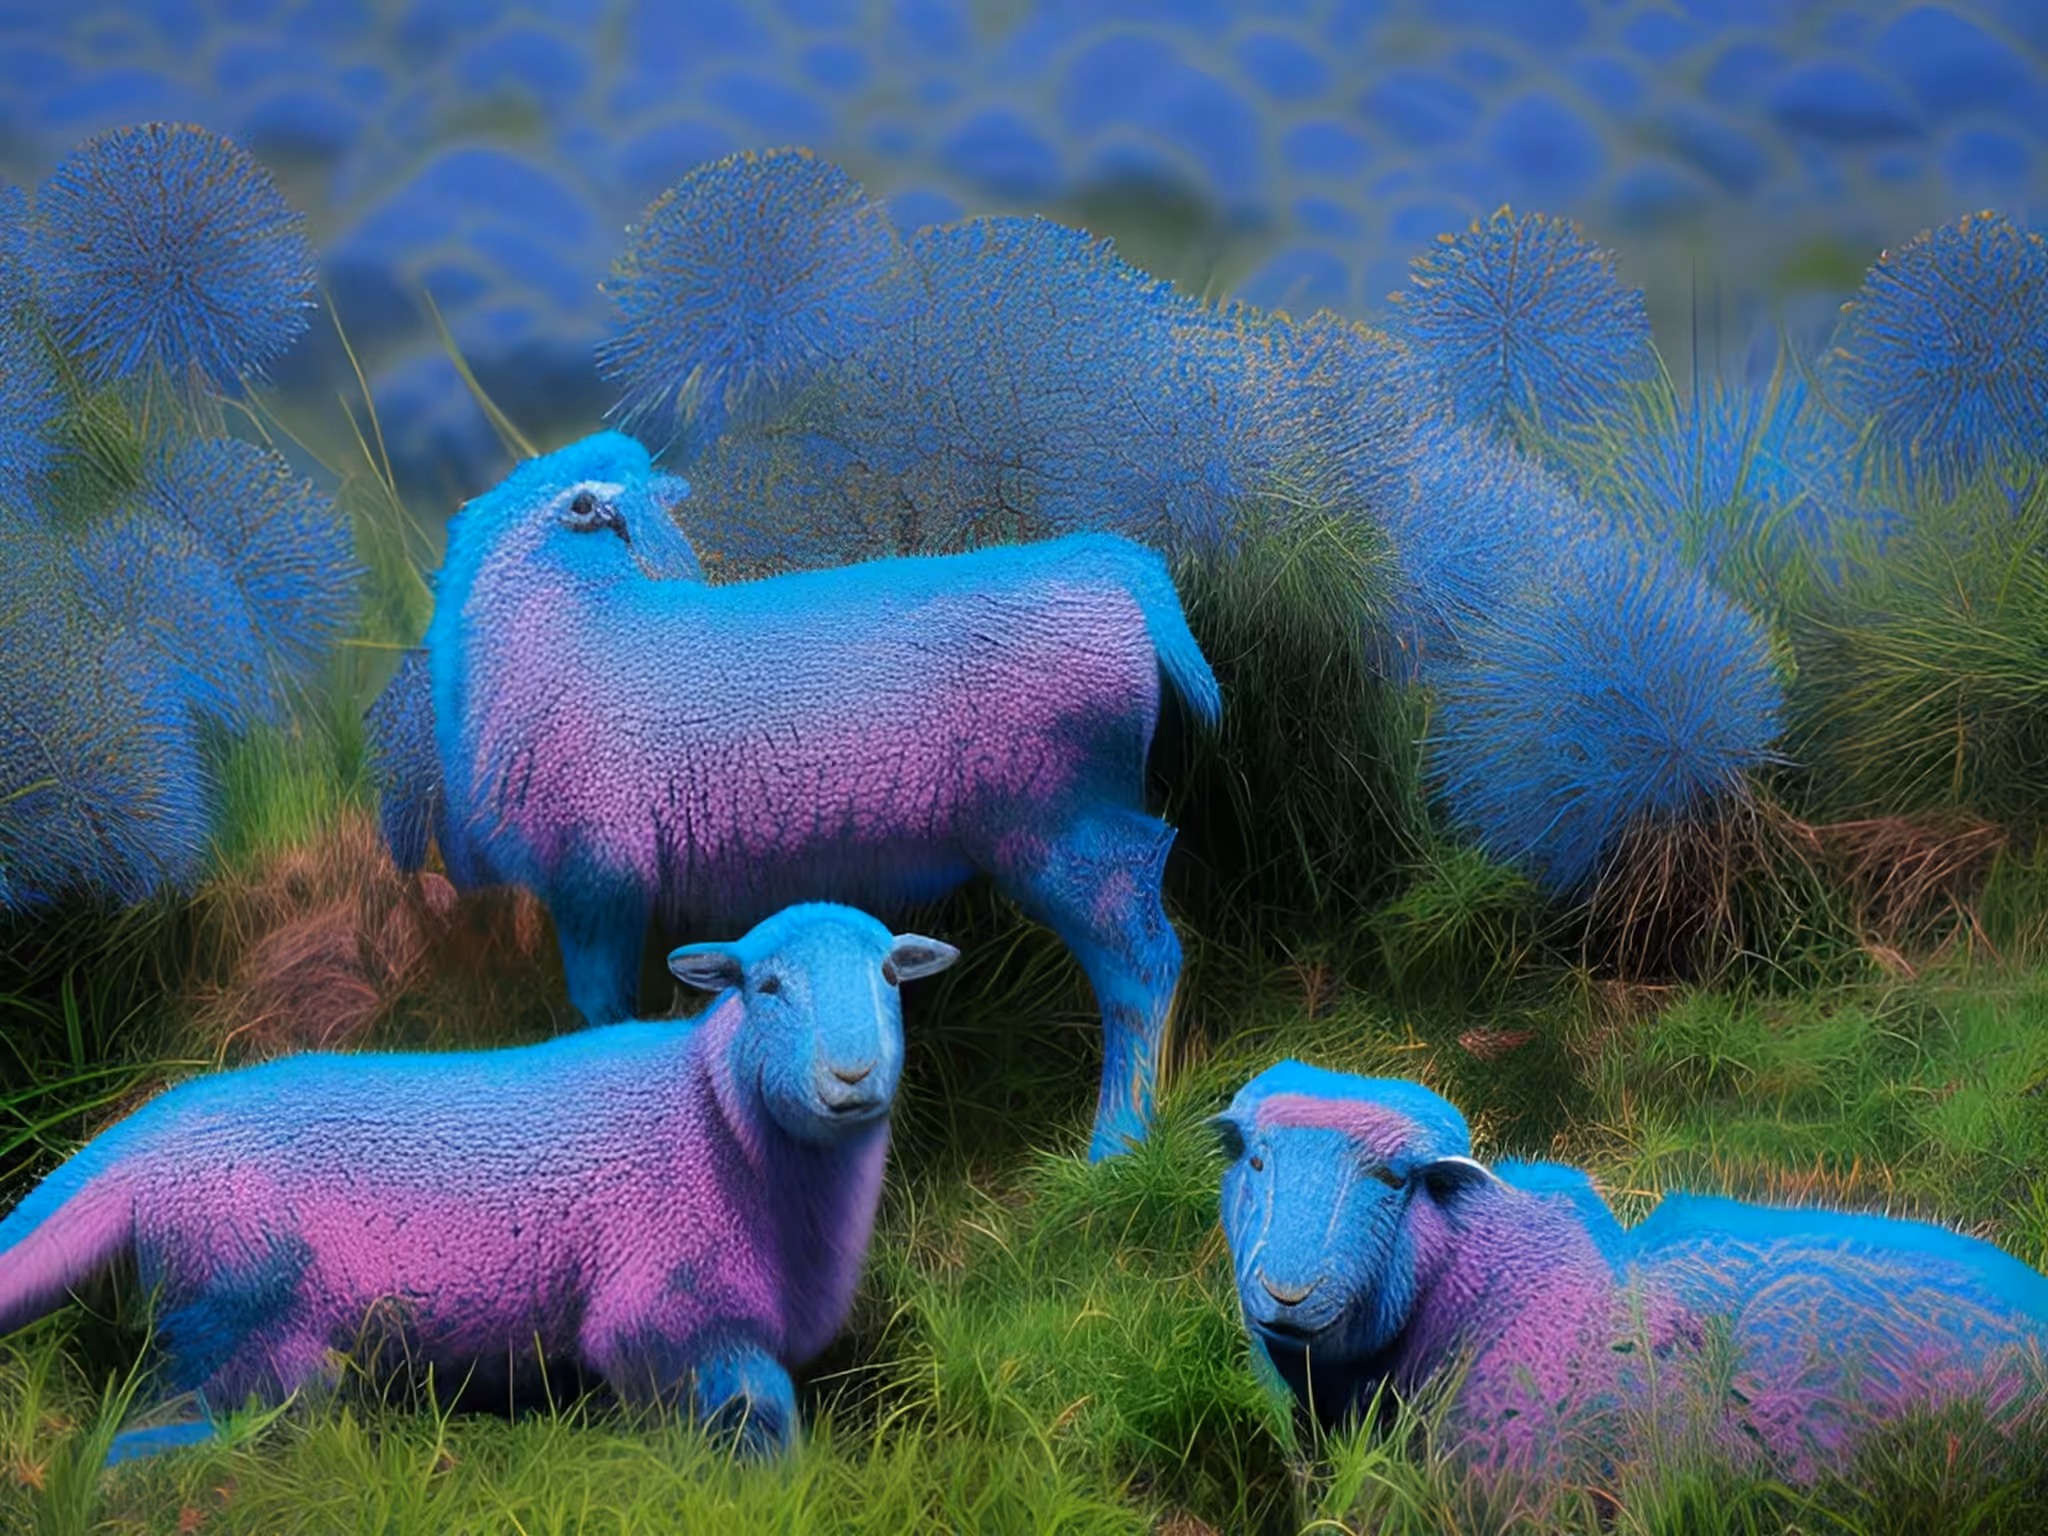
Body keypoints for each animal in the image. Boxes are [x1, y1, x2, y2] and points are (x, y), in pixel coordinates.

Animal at [0, 902, 958, 1464]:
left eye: (889, 975)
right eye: (765, 984)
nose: (850, 1075)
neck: (717, 1119)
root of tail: (150, 1134)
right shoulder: (658, 1312)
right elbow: (759, 1412)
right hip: (236, 1314)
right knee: (160, 1425)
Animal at [387, 428, 1221, 1162]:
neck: (573, 628)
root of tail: (1117, 568)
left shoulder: (595, 879)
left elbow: (602, 1013)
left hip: (1059, 818)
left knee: (1141, 963)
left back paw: (1118, 1146)